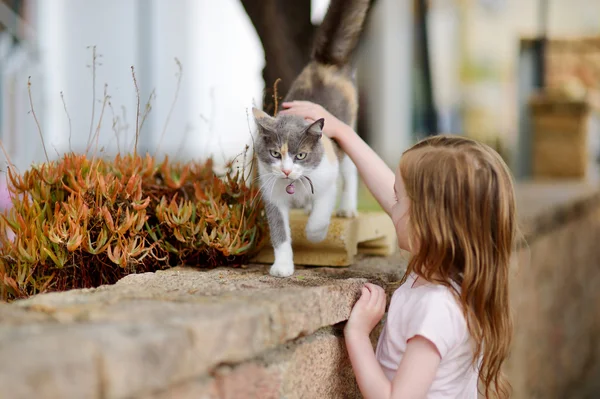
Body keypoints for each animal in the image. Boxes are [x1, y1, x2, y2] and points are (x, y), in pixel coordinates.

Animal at [250, 0, 370, 278]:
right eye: (275, 153)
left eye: (301, 155)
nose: (285, 171)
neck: (294, 186)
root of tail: (324, 63)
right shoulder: (272, 194)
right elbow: (279, 232)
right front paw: (283, 266)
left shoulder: (326, 178)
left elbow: (321, 212)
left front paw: (315, 235)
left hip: (346, 130)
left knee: (350, 170)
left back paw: (346, 208)